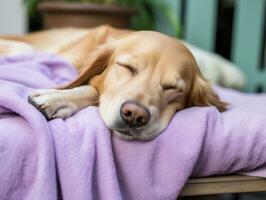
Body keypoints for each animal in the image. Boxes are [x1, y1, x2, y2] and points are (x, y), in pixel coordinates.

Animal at [1, 25, 228, 141]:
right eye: (127, 67)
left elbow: (93, 89)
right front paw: (57, 97)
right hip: (25, 48)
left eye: (173, 88)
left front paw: (59, 100)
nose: (134, 115)